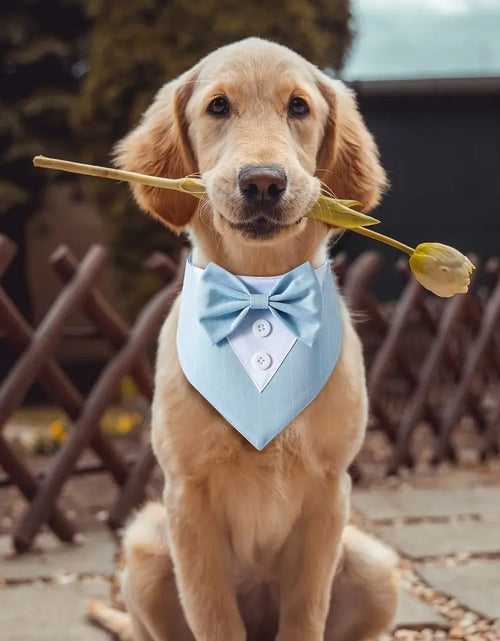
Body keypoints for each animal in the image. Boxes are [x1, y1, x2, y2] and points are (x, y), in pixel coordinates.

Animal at [87, 37, 398, 636]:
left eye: (298, 106)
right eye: (218, 107)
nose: (262, 182)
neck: (260, 292)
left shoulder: (330, 491)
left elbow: (305, 615)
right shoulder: (187, 497)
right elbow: (214, 619)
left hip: (376, 569)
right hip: (146, 549)